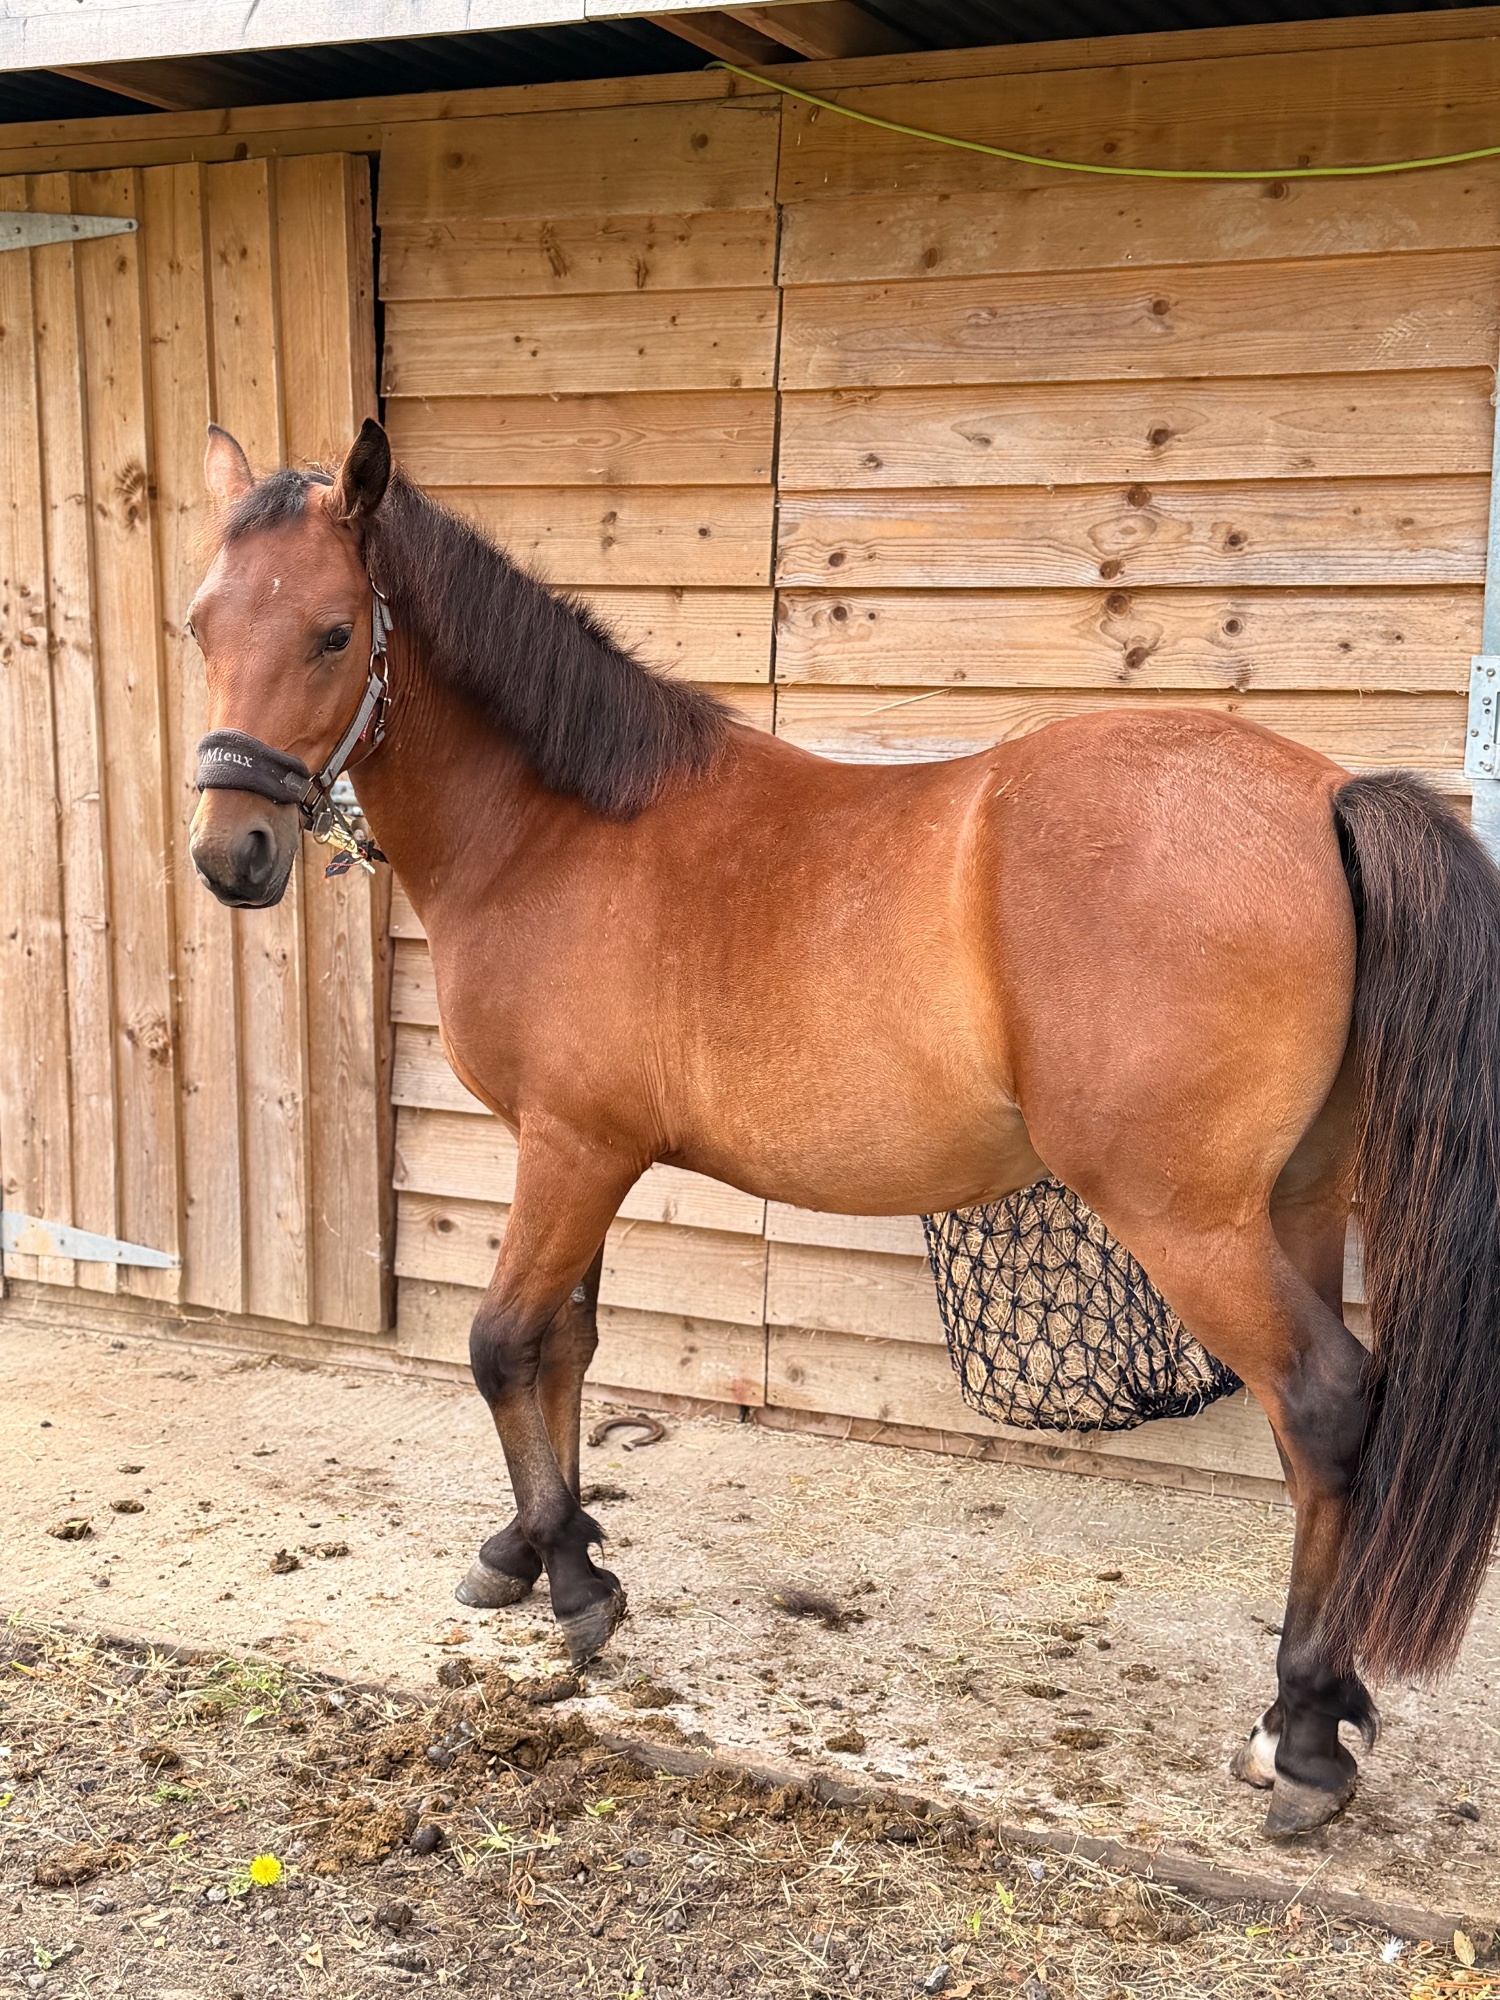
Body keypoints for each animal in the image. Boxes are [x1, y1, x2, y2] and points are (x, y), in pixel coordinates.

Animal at [186, 418, 1500, 1839]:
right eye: (200, 621)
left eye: (331, 632)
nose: (229, 852)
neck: (561, 827)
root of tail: (1325, 797)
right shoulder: (582, 1153)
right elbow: (565, 1348)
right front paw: (541, 1545)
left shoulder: (568, 1148)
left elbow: (498, 1343)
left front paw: (575, 1586)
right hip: (1295, 1204)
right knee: (1318, 1442)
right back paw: (1311, 1705)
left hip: (1190, 1221)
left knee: (1324, 1403)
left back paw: (1304, 1732)